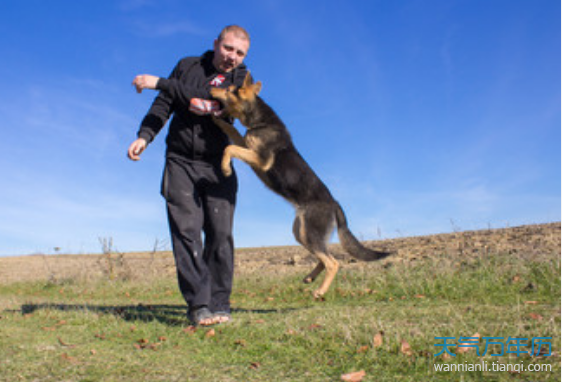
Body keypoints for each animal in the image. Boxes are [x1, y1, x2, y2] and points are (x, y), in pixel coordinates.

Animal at [210, 72, 390, 298]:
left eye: (227, 89)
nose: (210, 88)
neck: (261, 121)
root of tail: (334, 204)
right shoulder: (247, 145)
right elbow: (231, 131)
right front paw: (215, 119)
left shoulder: (260, 158)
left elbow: (229, 148)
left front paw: (225, 168)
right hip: (301, 233)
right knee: (323, 258)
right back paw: (310, 278)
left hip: (308, 232)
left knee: (333, 262)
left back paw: (320, 291)